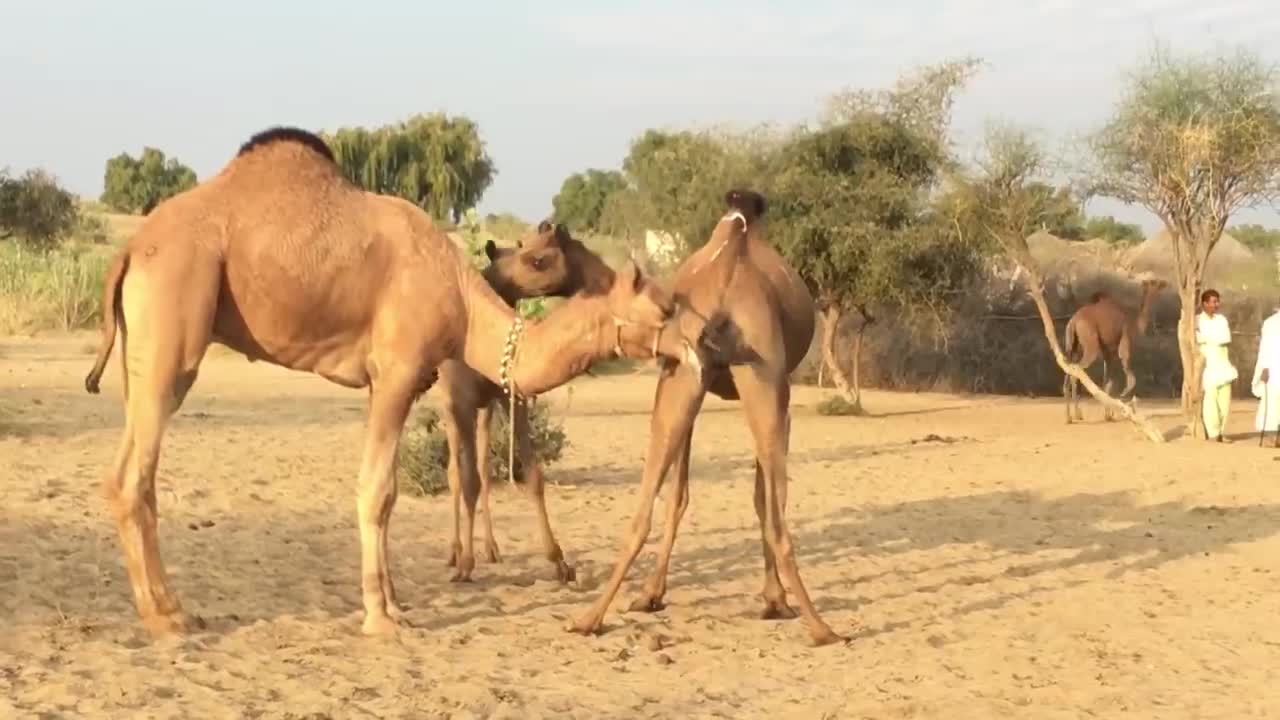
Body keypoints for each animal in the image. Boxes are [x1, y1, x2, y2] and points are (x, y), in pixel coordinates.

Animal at [437, 221, 616, 586]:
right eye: (537, 259)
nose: (594, 273)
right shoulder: (462, 402)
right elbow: (467, 481)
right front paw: (465, 565)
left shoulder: (511, 397)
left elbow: (531, 474)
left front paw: (560, 563)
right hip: (450, 408)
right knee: (455, 474)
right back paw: (455, 552)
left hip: (485, 410)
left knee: (481, 468)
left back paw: (491, 548)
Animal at [565, 189, 844, 645]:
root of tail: (727, 281)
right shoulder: (779, 396)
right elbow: (757, 496)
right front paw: (773, 599)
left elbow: (680, 494)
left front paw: (651, 595)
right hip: (765, 384)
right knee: (778, 516)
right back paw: (818, 626)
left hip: (681, 383)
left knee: (642, 511)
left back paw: (589, 618)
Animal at [1064, 272, 1167, 420]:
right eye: (1155, 282)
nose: (1164, 283)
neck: (1136, 322)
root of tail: (1074, 320)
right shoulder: (1125, 339)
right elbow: (1130, 377)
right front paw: (1120, 402)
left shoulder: (1108, 352)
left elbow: (1107, 381)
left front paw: (1108, 414)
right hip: (1090, 345)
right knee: (1076, 370)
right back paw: (1078, 414)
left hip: (1073, 346)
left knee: (1069, 367)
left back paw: (1069, 417)